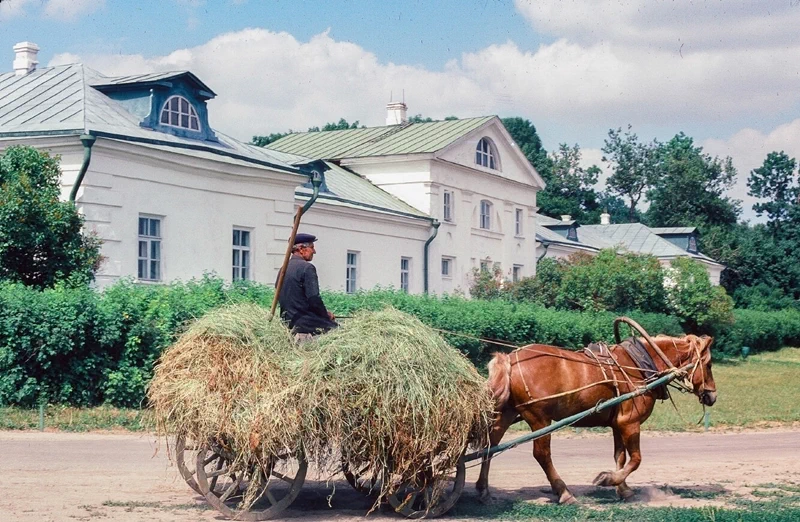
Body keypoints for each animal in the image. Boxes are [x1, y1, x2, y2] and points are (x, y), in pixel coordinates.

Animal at [476, 330, 720, 504]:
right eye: (708, 364)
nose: (712, 396)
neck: (639, 365)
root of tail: (510, 358)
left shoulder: (617, 425)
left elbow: (620, 457)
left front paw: (623, 489)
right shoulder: (630, 423)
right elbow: (636, 459)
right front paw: (609, 479)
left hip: (507, 413)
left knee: (491, 445)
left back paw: (483, 489)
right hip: (539, 419)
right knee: (542, 455)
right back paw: (564, 492)